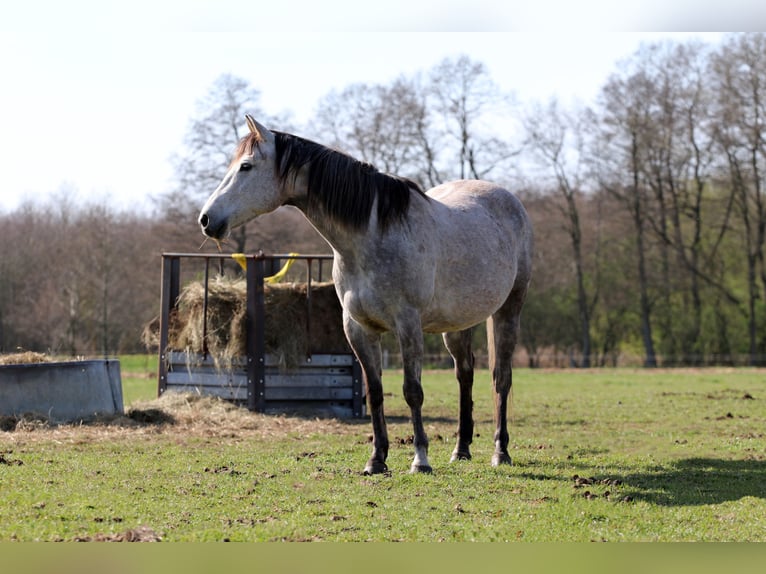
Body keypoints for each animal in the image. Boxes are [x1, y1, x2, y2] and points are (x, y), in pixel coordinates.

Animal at [198, 116, 536, 476]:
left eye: (246, 166)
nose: (206, 219)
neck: (371, 236)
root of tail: (509, 201)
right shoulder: (358, 327)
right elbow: (374, 393)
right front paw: (376, 459)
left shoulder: (407, 324)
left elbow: (412, 391)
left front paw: (420, 459)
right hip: (457, 323)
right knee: (465, 375)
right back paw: (461, 450)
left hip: (508, 310)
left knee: (501, 378)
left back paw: (500, 452)